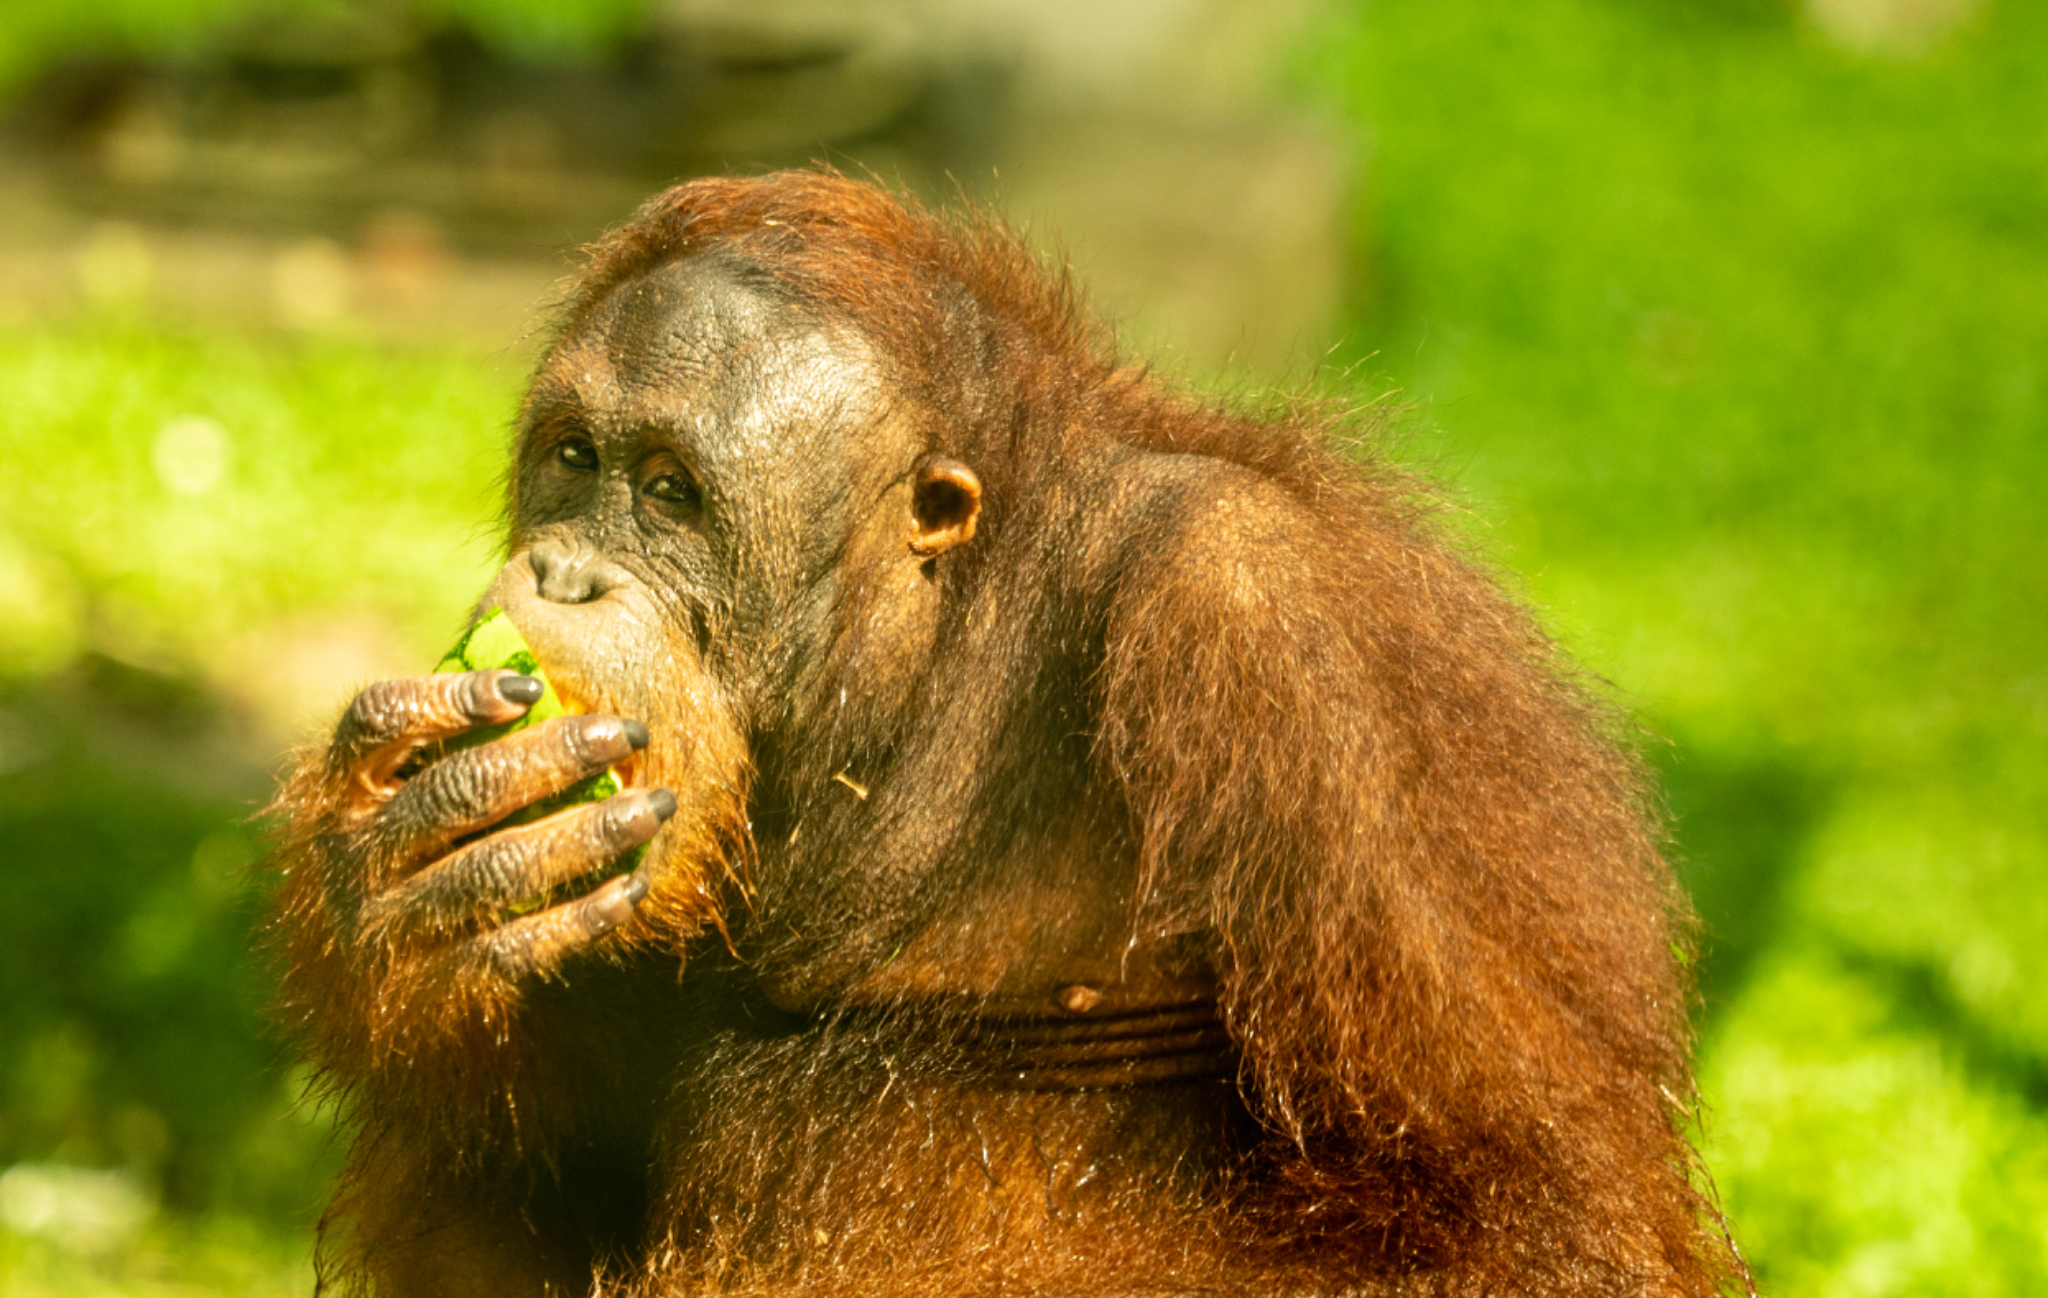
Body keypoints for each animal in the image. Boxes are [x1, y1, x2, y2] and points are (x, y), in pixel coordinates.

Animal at [268, 171, 1745, 1297]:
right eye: (573, 461)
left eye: (670, 490)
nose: (563, 571)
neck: (939, 654)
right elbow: (529, 1177)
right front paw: (389, 878)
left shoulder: (1276, 638)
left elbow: (1517, 1217)